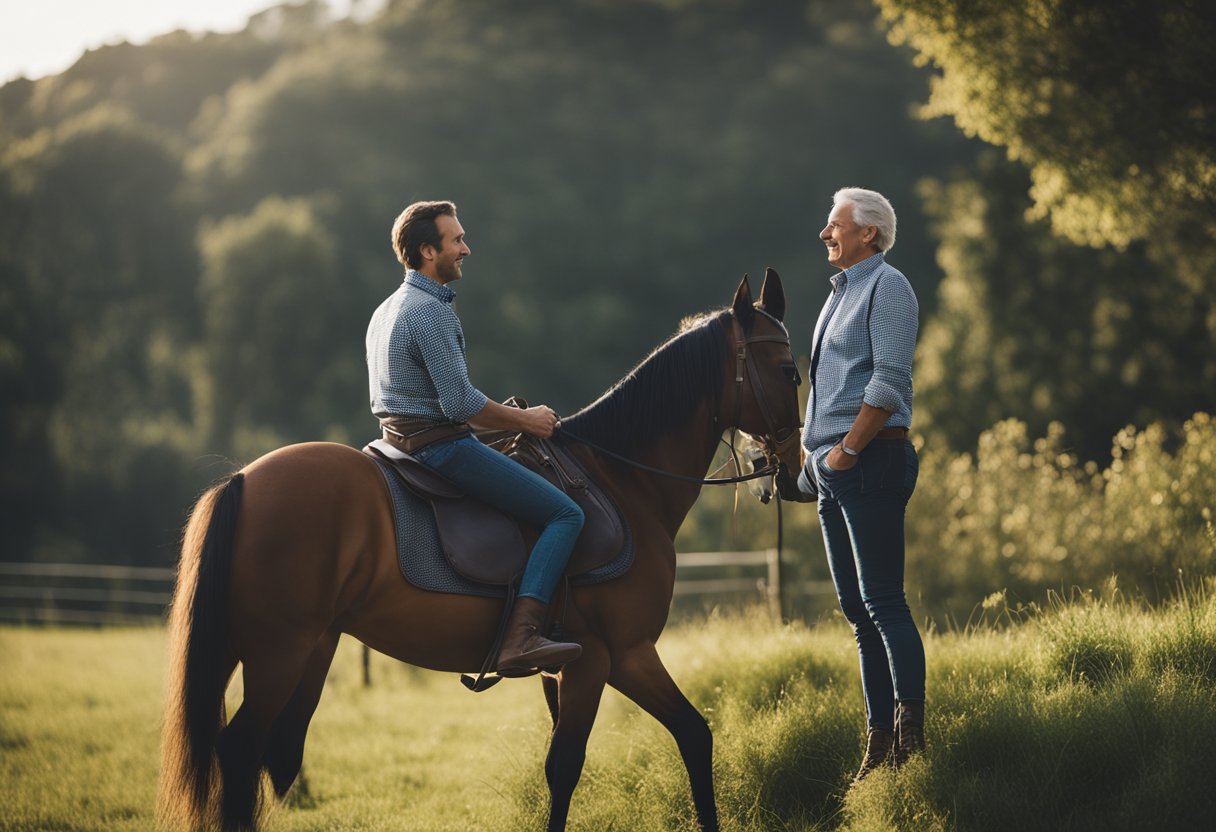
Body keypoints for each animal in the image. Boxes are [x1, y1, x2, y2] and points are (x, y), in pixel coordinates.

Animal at [158, 269, 804, 831]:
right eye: (790, 371)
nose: (793, 468)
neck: (624, 482)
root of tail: (244, 479)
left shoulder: (571, 665)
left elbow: (662, 743)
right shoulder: (616, 655)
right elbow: (592, 761)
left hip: (266, 650)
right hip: (278, 652)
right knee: (240, 750)